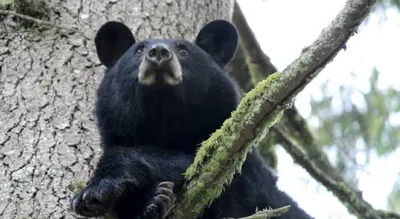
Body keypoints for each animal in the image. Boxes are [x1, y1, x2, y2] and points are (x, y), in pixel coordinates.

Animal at [70, 19, 314, 219]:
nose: (158, 52)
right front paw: (148, 203)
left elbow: (198, 164)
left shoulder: (239, 167)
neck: (162, 118)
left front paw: (94, 191)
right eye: (138, 50)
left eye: (183, 50)